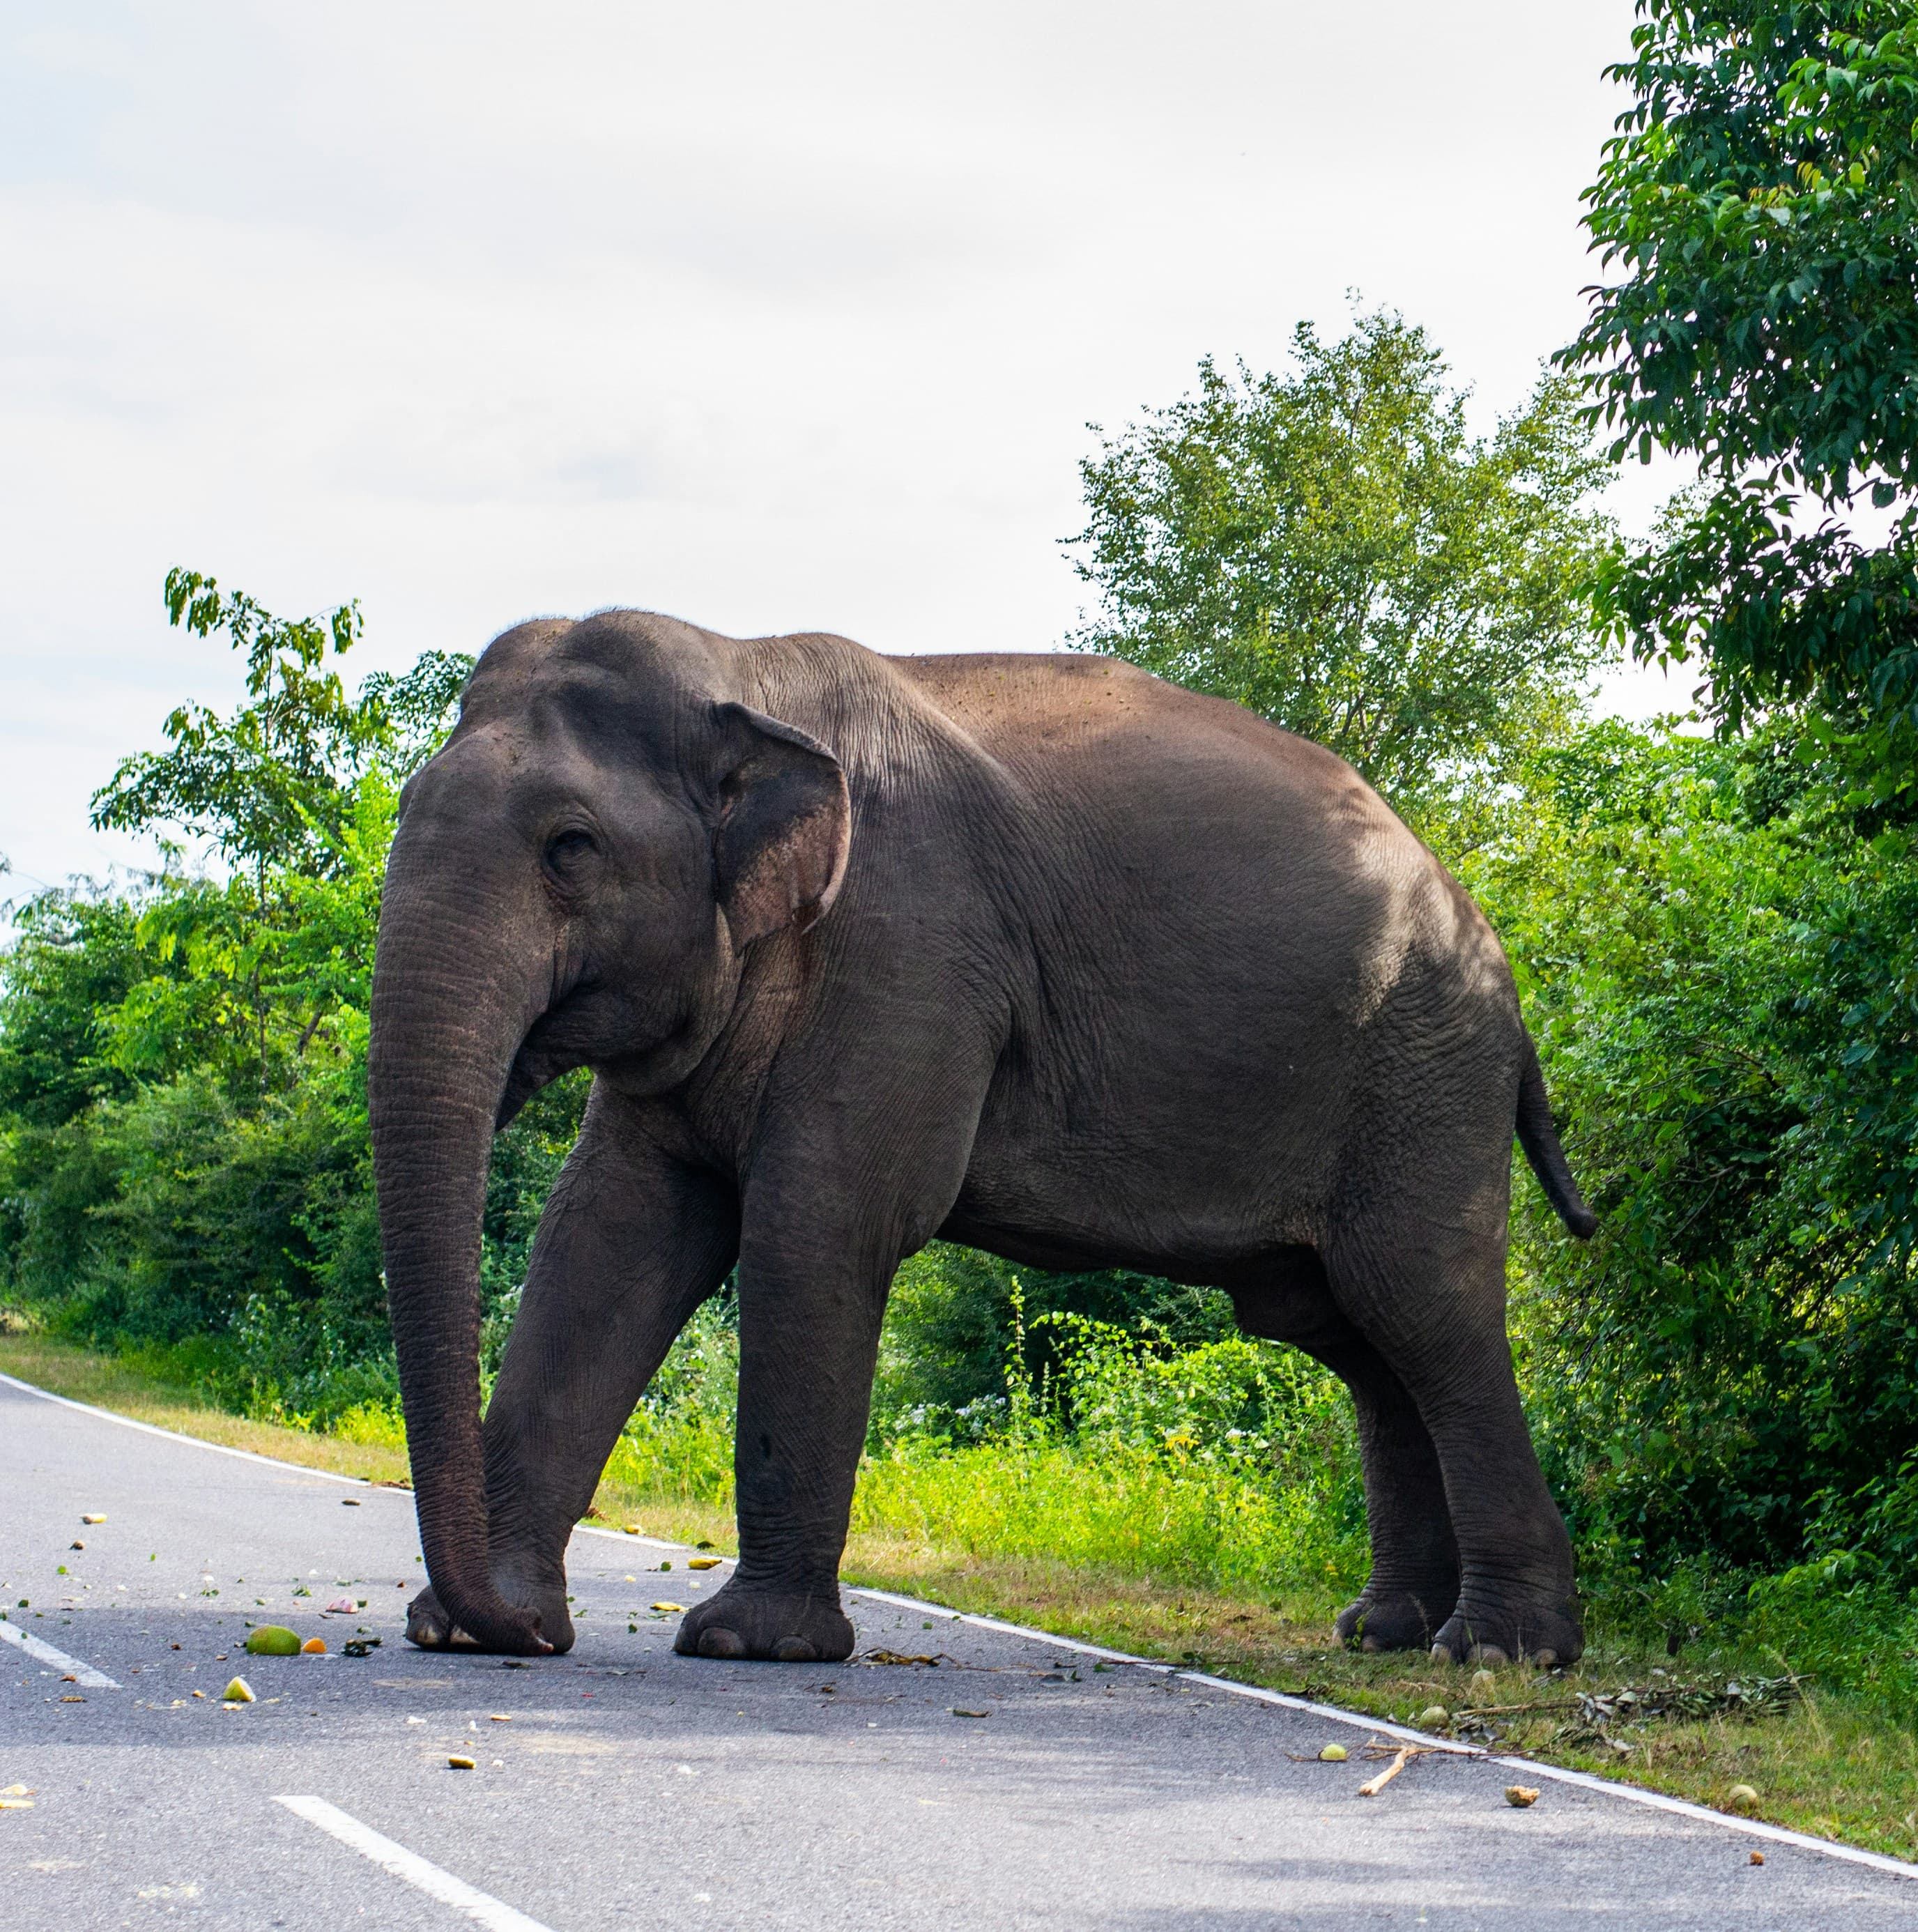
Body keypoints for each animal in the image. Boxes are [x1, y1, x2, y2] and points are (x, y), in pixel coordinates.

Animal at [368, 608, 1596, 1671]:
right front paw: (470, 1630)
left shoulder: (909, 951)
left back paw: (1496, 1652)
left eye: (570, 846)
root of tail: (1504, 974)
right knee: (1353, 1333)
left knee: (1420, 1305)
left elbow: (819, 1226)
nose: (533, 1641)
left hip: (1424, 1078)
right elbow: (609, 1233)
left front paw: (745, 1645)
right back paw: (1387, 1633)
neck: (742, 667)